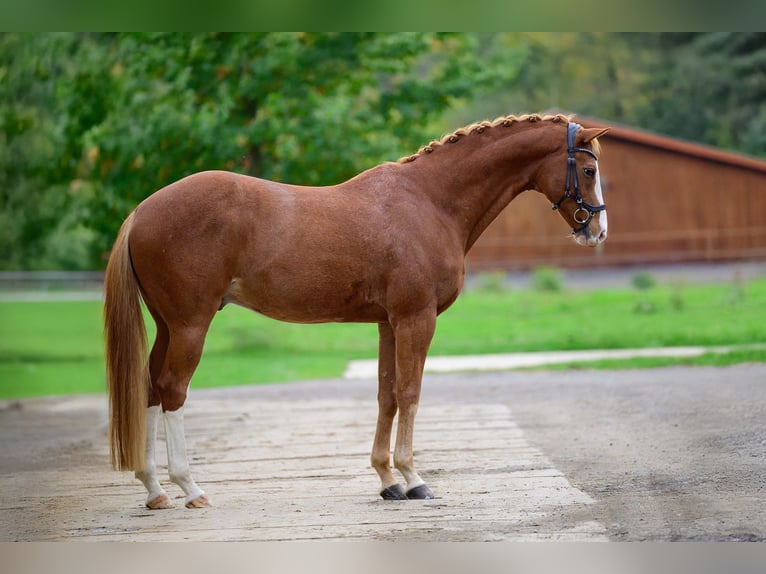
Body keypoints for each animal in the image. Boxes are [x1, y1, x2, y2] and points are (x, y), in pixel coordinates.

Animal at [103, 113, 609, 509]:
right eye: (587, 169)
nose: (597, 231)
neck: (430, 201)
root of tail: (142, 211)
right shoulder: (416, 319)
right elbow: (410, 392)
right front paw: (413, 478)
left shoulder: (388, 324)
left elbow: (387, 395)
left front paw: (388, 480)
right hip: (191, 324)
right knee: (173, 390)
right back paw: (189, 487)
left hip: (167, 325)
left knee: (150, 387)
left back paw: (154, 489)